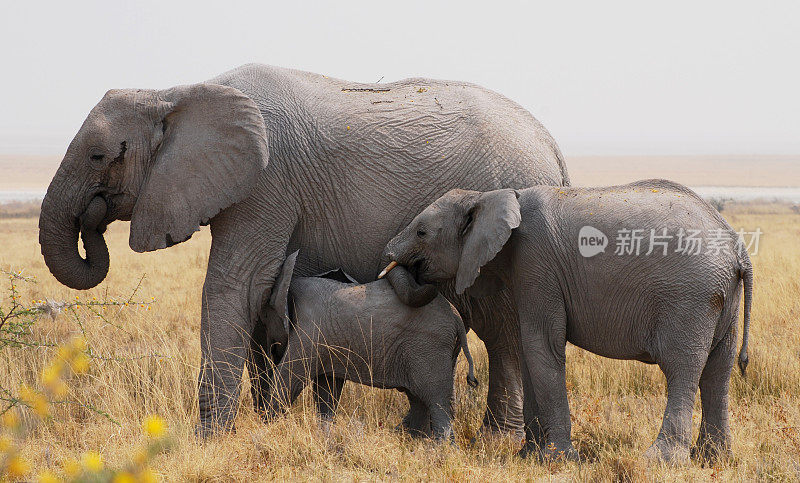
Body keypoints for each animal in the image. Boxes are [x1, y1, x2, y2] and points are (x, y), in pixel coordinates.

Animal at [260, 253, 478, 442]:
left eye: (265, 315)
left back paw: (439, 450)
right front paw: (325, 435)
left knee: (436, 400)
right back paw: (416, 444)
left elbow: (288, 378)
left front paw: (267, 426)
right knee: (419, 400)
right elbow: (327, 388)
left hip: (429, 348)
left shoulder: (309, 331)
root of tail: (456, 317)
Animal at [380, 180, 752, 464]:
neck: (490, 196)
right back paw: (715, 460)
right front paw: (528, 457)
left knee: (682, 369)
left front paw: (557, 460)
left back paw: (660, 461)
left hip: (689, 298)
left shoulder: (536, 263)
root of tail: (737, 248)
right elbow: (529, 351)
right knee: (718, 372)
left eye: (422, 231)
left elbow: (542, 348)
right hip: (722, 299)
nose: (390, 257)